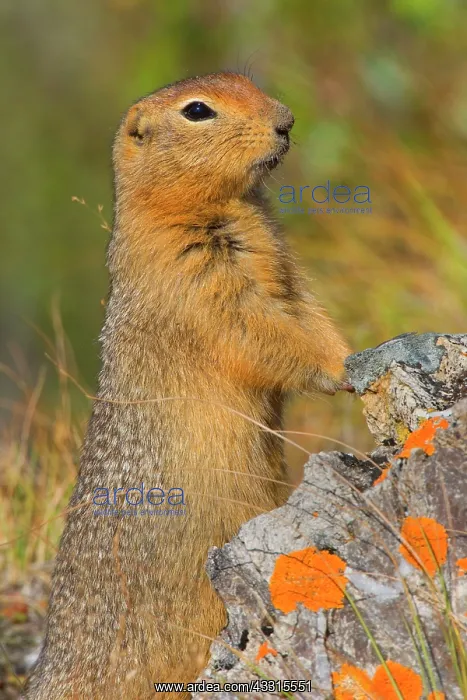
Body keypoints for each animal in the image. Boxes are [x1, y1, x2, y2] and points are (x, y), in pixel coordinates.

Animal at [26, 72, 351, 699]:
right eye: (197, 111)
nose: (286, 120)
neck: (229, 207)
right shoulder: (193, 275)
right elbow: (260, 329)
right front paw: (345, 368)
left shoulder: (284, 266)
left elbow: (304, 307)